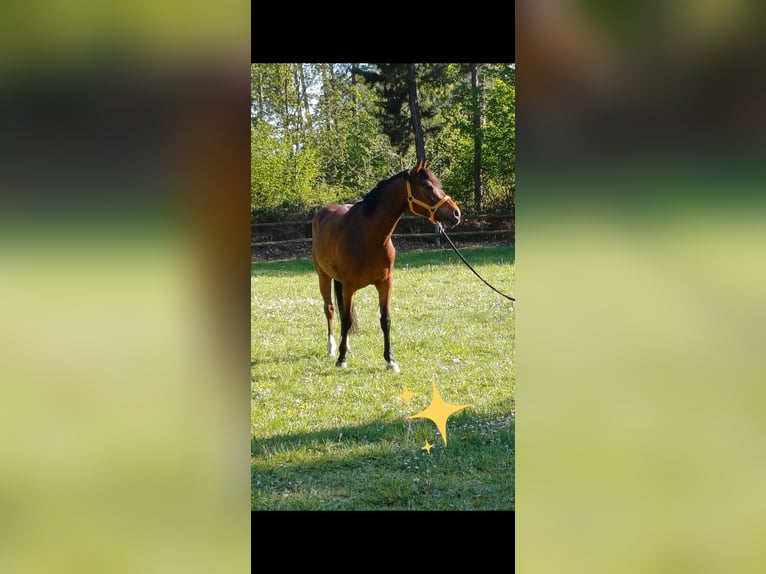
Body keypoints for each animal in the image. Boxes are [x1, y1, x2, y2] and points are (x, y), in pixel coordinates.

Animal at [311, 161, 461, 372]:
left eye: (439, 184)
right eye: (428, 187)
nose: (456, 213)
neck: (368, 236)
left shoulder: (385, 284)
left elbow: (385, 320)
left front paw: (390, 360)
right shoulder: (349, 286)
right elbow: (347, 320)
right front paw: (341, 360)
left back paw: (346, 346)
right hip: (323, 276)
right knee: (330, 310)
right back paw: (332, 348)